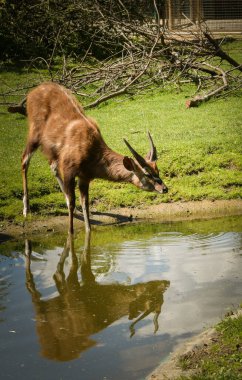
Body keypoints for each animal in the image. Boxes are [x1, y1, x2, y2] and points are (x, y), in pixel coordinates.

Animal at [21, 81, 167, 233]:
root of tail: (32, 92)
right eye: (147, 174)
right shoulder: (68, 169)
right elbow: (73, 203)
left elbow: (85, 204)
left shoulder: (85, 177)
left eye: (157, 170)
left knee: (52, 166)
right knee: (24, 160)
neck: (91, 155)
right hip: (34, 133)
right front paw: (70, 231)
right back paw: (26, 209)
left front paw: (88, 229)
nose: (164, 188)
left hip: (52, 151)